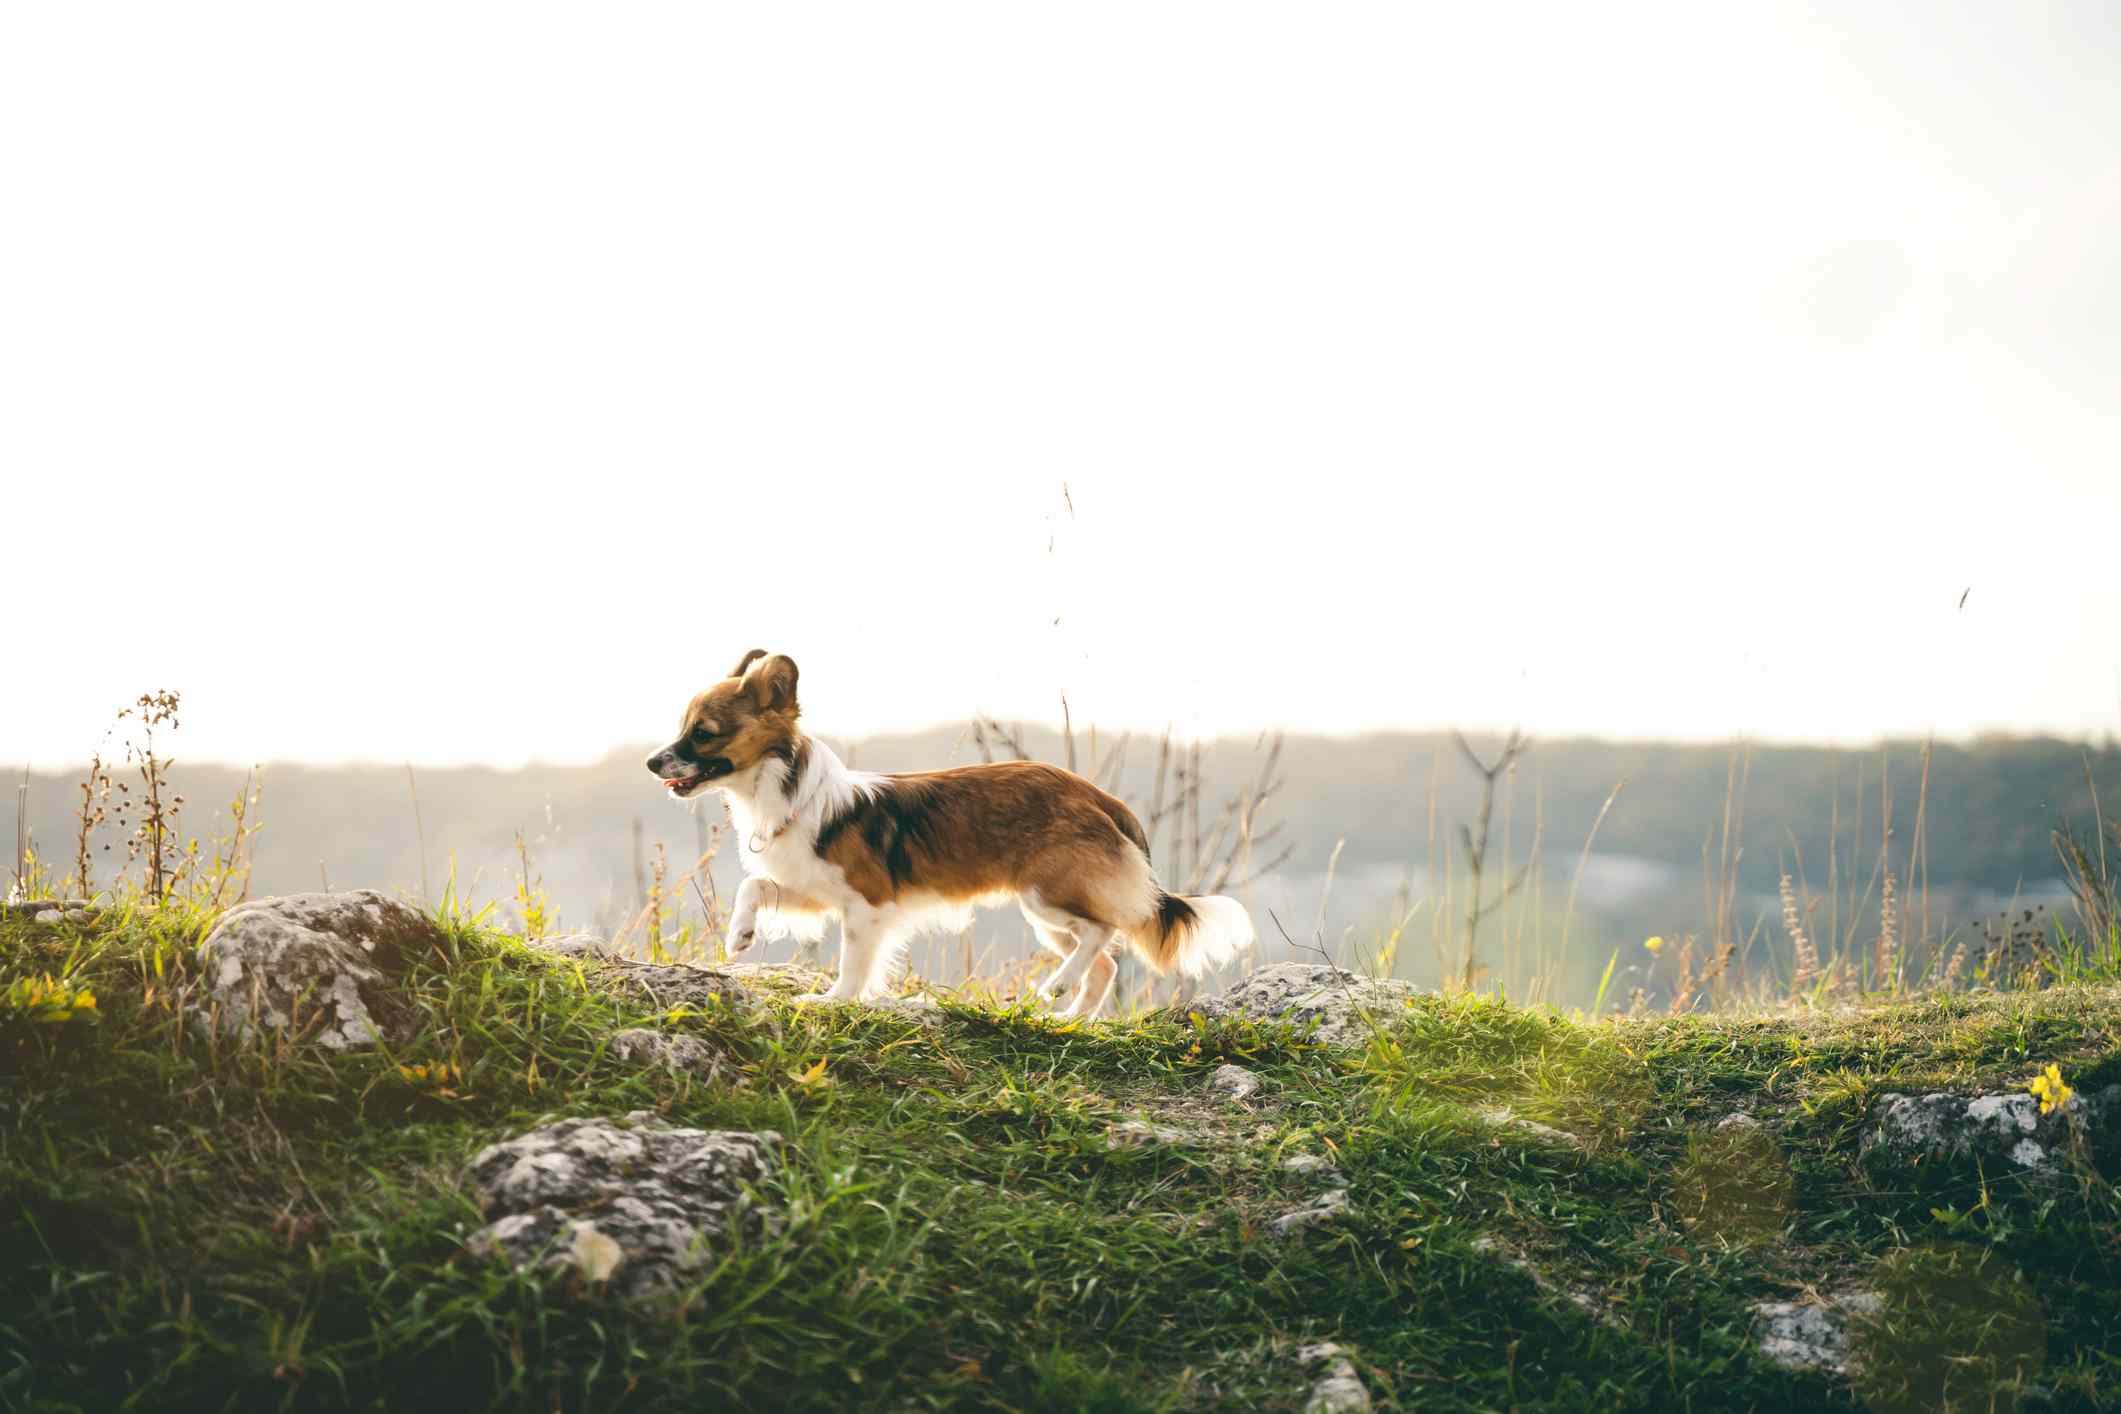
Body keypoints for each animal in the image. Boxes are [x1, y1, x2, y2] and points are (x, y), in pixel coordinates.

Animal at [636, 652, 1247, 1017]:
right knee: (1105, 963)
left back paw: (1057, 988)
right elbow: (755, 886)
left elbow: (853, 962)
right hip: (1050, 917)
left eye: (703, 733)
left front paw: (836, 999)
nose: (650, 763)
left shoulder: (866, 905)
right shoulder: (813, 888)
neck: (780, 790)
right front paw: (739, 935)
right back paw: (1069, 1014)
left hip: (1047, 896)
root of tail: (1100, 798)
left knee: (1101, 934)